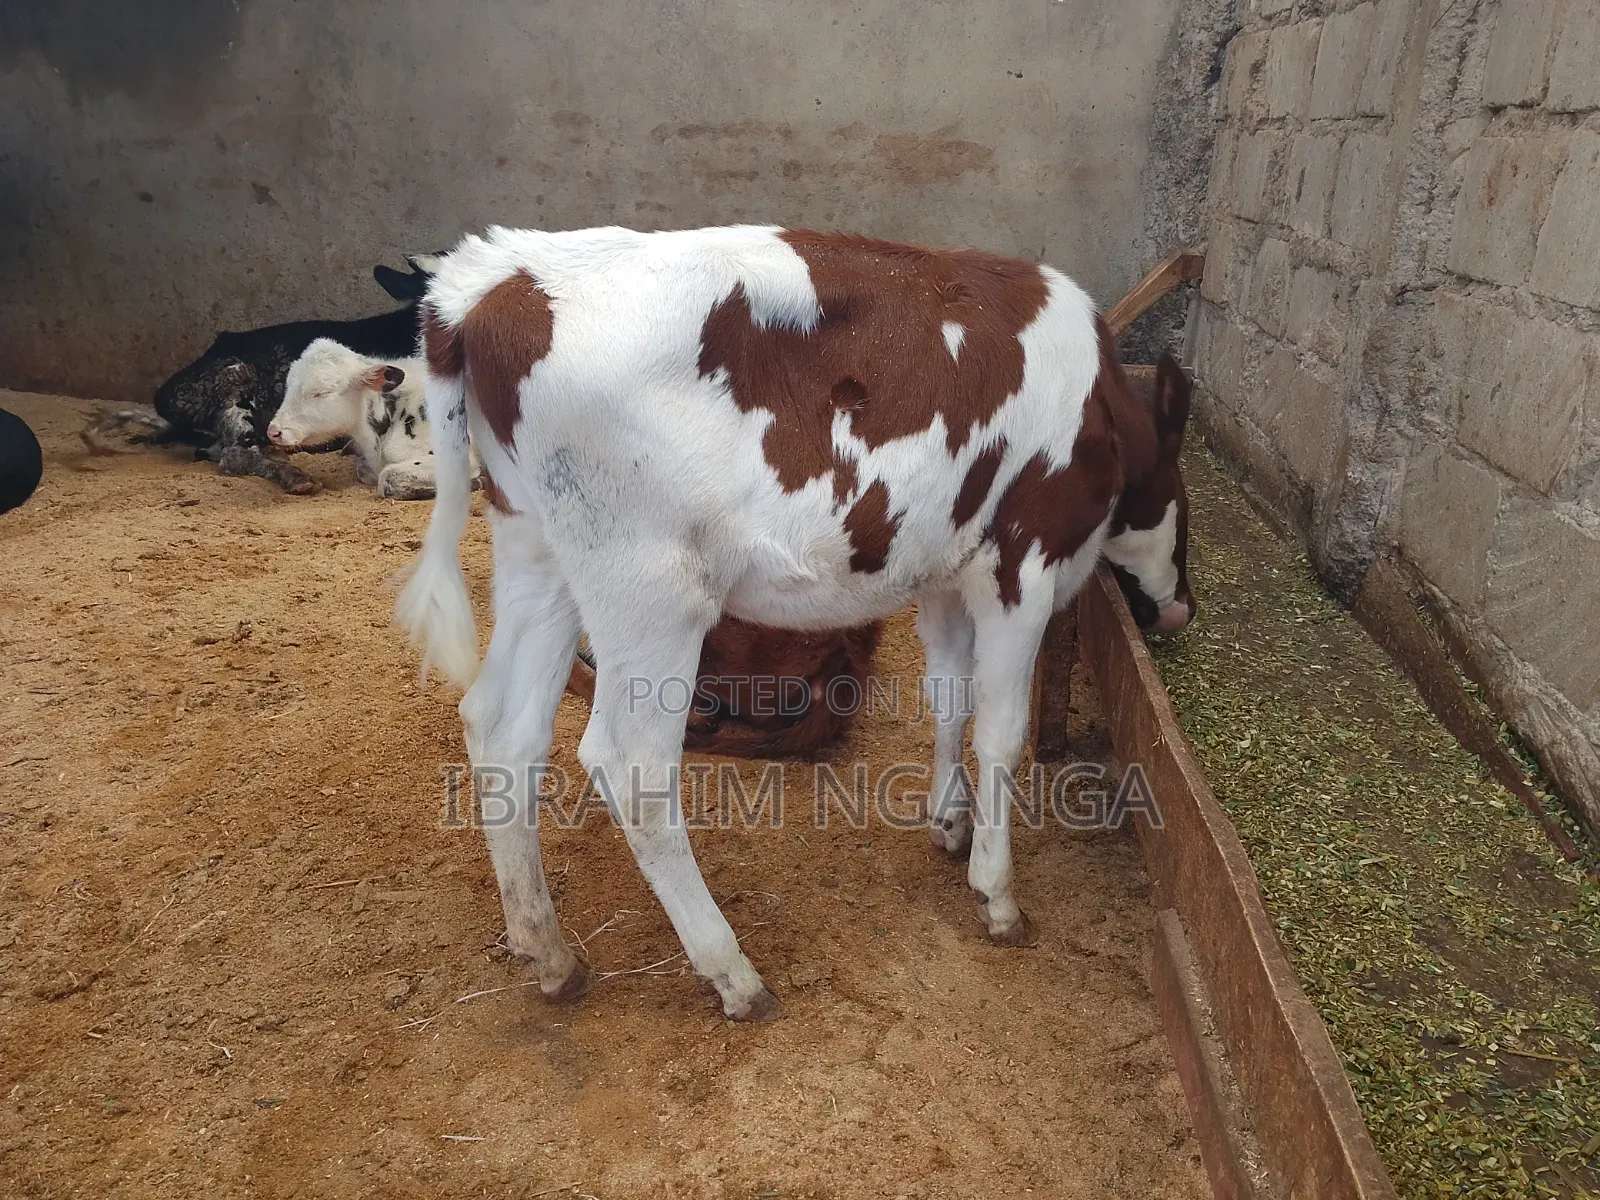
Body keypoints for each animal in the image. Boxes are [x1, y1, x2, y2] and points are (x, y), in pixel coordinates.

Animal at [395, 225, 1194, 1021]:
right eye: (1184, 501)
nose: (1181, 607)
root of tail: (495, 275)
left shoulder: (943, 569)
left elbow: (949, 698)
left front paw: (949, 822)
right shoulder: (1022, 561)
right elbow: (1001, 732)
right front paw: (997, 895)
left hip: (538, 551)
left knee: (502, 727)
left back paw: (549, 952)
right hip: (652, 592)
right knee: (632, 769)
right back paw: (731, 973)